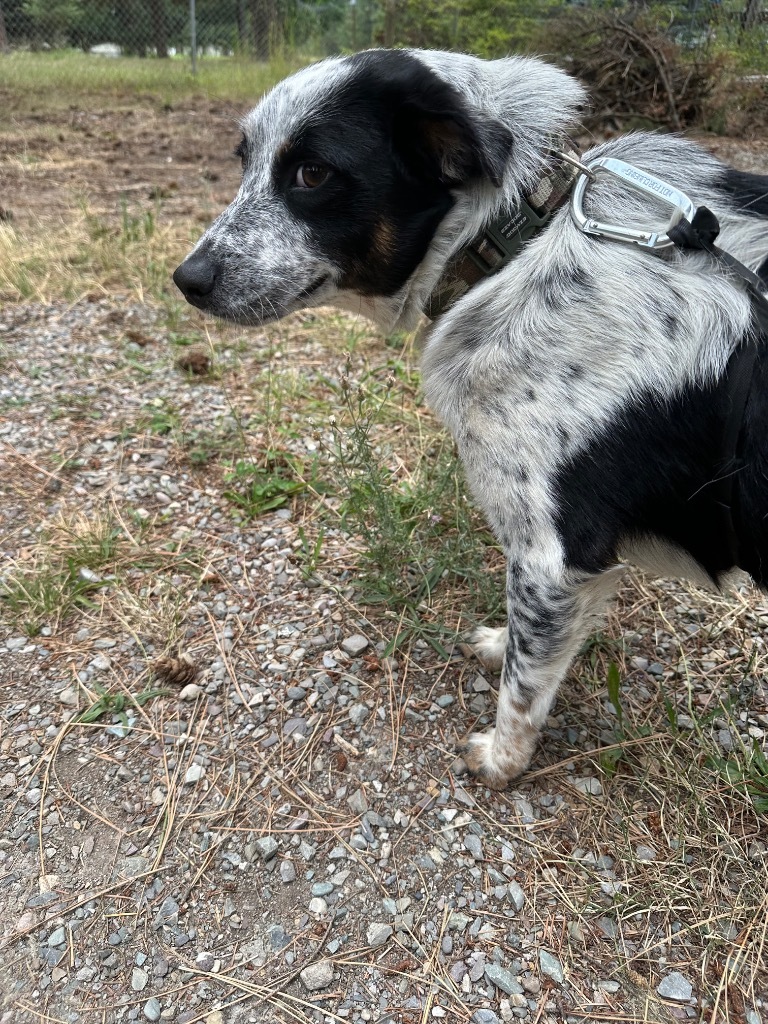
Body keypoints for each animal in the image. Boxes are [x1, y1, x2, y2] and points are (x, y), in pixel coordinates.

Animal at [174, 48, 768, 786]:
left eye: (312, 174)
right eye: (245, 161)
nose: (187, 279)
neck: (516, 240)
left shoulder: (550, 554)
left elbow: (525, 682)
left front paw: (502, 760)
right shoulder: (575, 567)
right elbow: (538, 640)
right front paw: (503, 644)